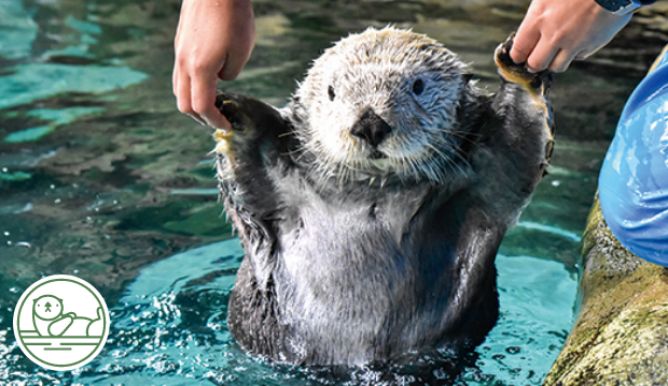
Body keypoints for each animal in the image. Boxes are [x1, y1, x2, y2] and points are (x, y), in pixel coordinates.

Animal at [213, 27, 552, 364]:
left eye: (418, 86)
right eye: (332, 91)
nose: (370, 124)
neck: (372, 193)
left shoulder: (484, 182)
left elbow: (517, 145)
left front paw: (519, 64)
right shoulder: (277, 199)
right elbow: (252, 180)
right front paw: (235, 112)